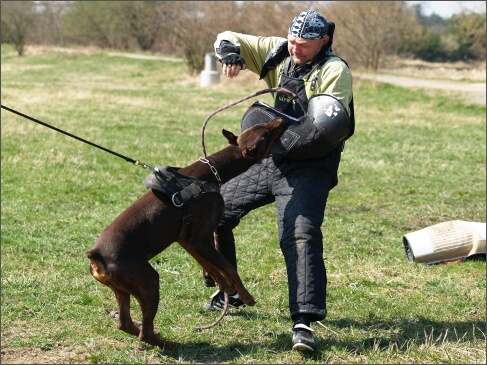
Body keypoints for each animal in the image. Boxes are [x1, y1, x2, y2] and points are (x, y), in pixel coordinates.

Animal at [86, 116, 286, 346]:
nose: (280, 119)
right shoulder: (200, 238)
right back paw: (169, 344)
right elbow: (229, 267)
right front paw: (246, 296)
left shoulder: (187, 239)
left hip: (122, 287)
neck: (211, 173)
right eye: (266, 134)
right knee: (145, 331)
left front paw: (224, 286)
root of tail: (96, 256)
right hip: (148, 281)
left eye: (260, 127)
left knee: (125, 324)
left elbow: (210, 265)